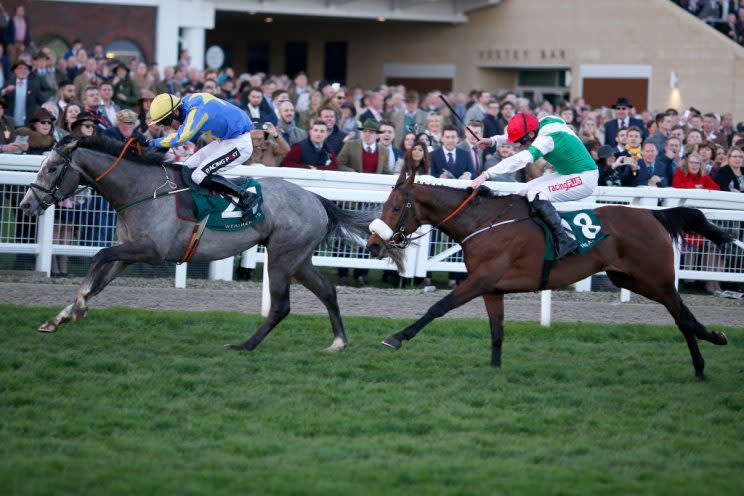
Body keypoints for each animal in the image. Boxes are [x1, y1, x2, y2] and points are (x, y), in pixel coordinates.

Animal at [18, 136, 396, 350]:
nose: (26, 205)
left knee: (281, 306)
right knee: (327, 292)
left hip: (282, 257)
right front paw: (58, 318)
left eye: (51, 168)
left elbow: (97, 256)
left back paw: (245, 345)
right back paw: (338, 342)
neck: (140, 190)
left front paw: (78, 308)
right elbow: (99, 278)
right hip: (299, 259)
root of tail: (316, 199)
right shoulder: (127, 254)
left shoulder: (151, 251)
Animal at [366, 165, 740, 378]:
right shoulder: (492, 288)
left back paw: (704, 359)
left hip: (656, 278)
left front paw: (396, 337)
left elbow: (438, 307)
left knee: (682, 317)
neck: (483, 222)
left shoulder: (480, 280)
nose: (371, 244)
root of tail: (654, 215)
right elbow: (497, 331)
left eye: (396, 207)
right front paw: (494, 371)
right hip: (631, 278)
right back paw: (710, 347)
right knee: (681, 316)